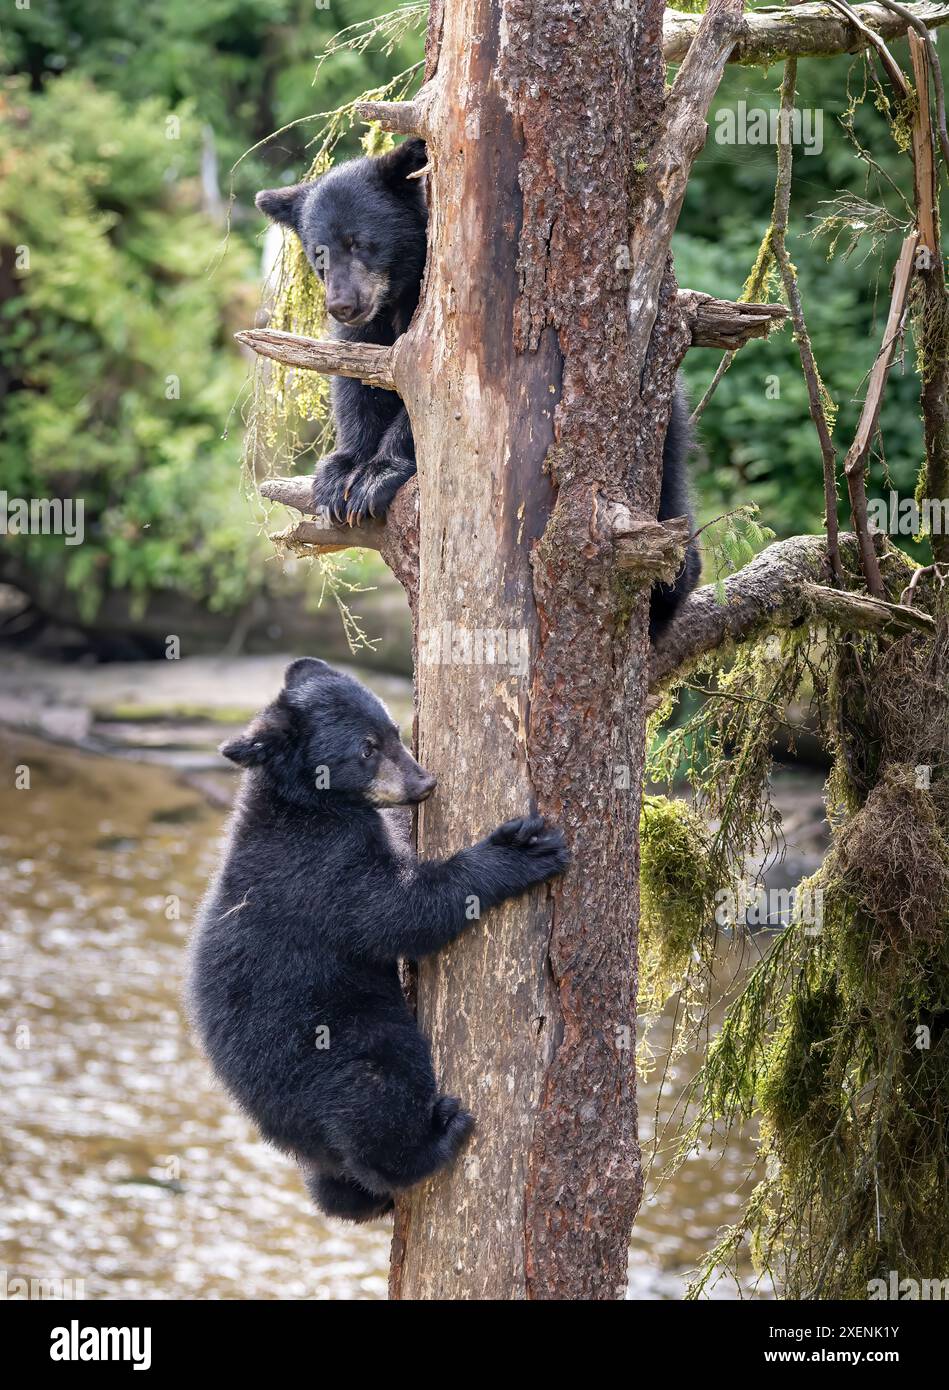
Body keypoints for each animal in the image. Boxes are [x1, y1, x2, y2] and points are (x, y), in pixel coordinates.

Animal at [187, 657, 569, 1222]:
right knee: (378, 1097)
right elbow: (400, 912)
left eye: (393, 730)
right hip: (342, 1048)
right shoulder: (321, 867)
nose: (424, 782)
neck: (306, 804)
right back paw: (436, 1139)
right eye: (365, 749)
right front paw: (520, 850)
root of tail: (301, 1144)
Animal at [255, 138, 701, 638]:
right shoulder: (369, 331)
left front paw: (375, 476)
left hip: (667, 428)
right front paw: (339, 475)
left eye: (361, 243)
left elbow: (426, 403)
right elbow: (357, 383)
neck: (398, 295)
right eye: (320, 253)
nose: (343, 304)